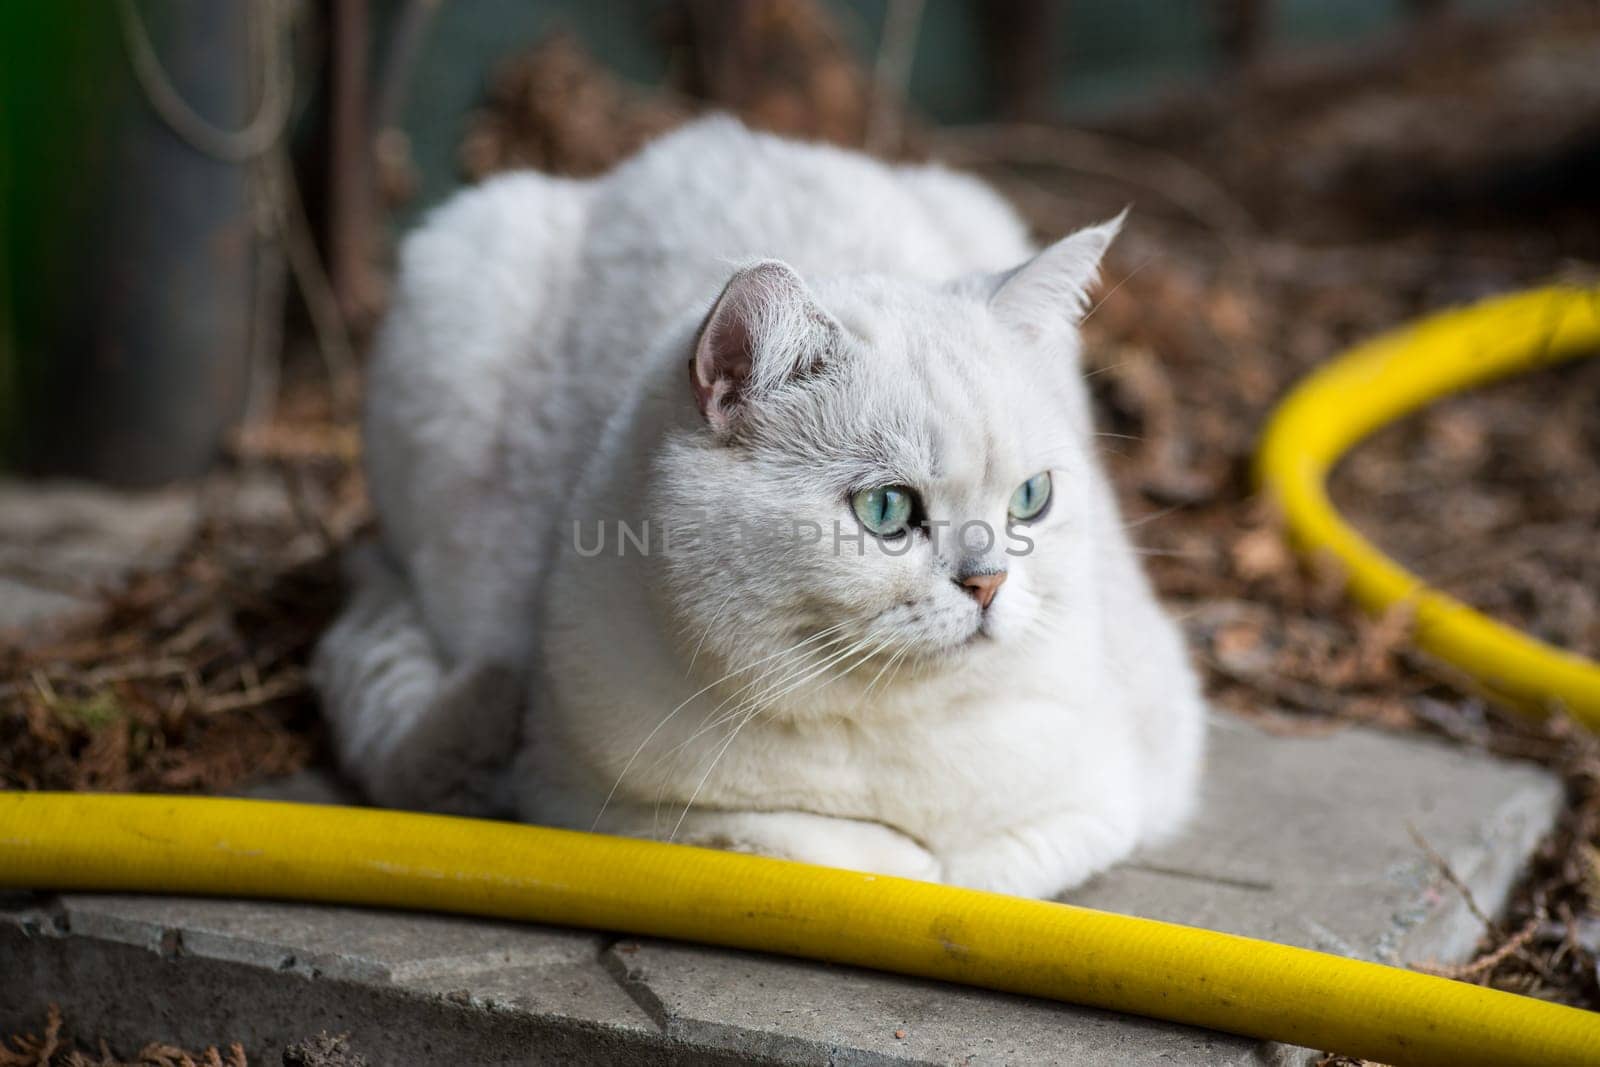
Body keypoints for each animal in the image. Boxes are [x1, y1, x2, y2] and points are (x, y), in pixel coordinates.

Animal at [312, 119, 1203, 902]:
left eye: (1031, 498)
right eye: (887, 509)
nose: (989, 584)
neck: (888, 727)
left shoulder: (1123, 785)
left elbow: (988, 868)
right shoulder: (579, 796)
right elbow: (826, 848)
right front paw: (897, 858)